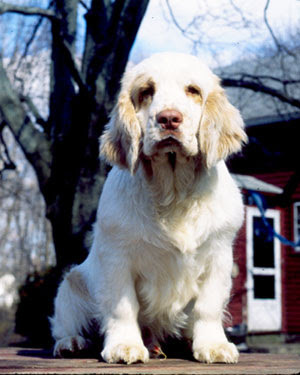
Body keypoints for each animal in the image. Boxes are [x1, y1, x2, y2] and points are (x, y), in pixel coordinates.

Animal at [51, 52, 247, 364]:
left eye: (193, 90)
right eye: (146, 92)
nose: (169, 119)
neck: (174, 193)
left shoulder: (218, 256)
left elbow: (209, 306)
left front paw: (213, 345)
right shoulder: (117, 257)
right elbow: (122, 306)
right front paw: (124, 345)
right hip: (71, 285)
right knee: (65, 324)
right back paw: (72, 342)